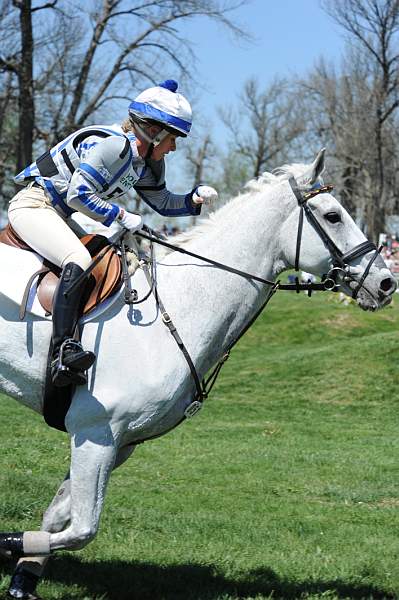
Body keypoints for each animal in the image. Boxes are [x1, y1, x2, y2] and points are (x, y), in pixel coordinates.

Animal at [0, 149, 396, 596]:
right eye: (332, 216)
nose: (386, 283)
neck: (176, 307)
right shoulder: (95, 432)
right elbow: (82, 528)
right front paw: (8, 545)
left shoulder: (118, 443)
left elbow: (59, 519)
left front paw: (24, 578)